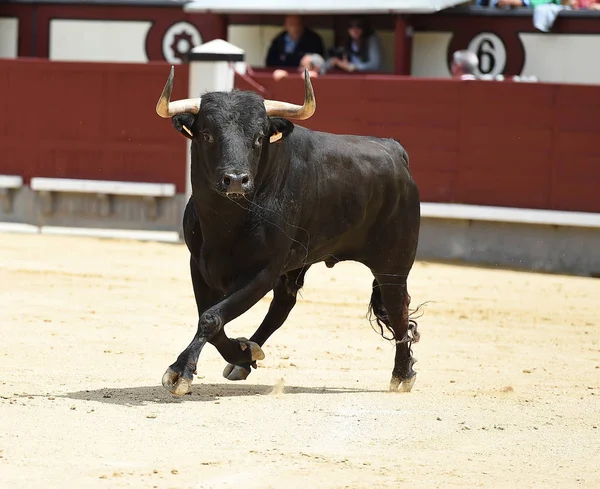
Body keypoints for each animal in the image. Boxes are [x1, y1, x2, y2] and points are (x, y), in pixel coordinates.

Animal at [152, 66, 420, 394]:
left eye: (258, 138)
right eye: (207, 134)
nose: (236, 180)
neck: (224, 222)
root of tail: (394, 150)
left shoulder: (263, 270)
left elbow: (212, 317)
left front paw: (180, 372)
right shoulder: (199, 265)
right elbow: (211, 318)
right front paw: (242, 352)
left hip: (393, 264)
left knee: (397, 307)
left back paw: (402, 374)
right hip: (299, 264)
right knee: (283, 305)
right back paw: (245, 358)